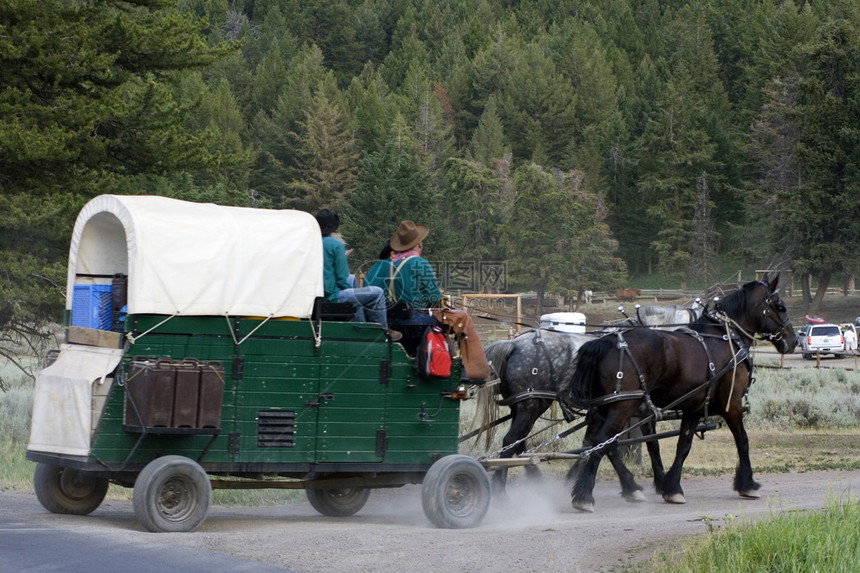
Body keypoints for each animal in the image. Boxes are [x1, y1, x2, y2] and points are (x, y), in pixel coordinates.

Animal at [568, 274, 796, 512]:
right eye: (780, 306)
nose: (794, 341)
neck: (726, 336)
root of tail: (605, 341)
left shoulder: (694, 408)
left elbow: (683, 446)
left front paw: (672, 488)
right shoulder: (732, 405)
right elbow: (743, 441)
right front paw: (748, 484)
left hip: (605, 409)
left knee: (606, 445)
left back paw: (630, 488)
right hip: (622, 407)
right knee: (601, 443)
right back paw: (584, 495)